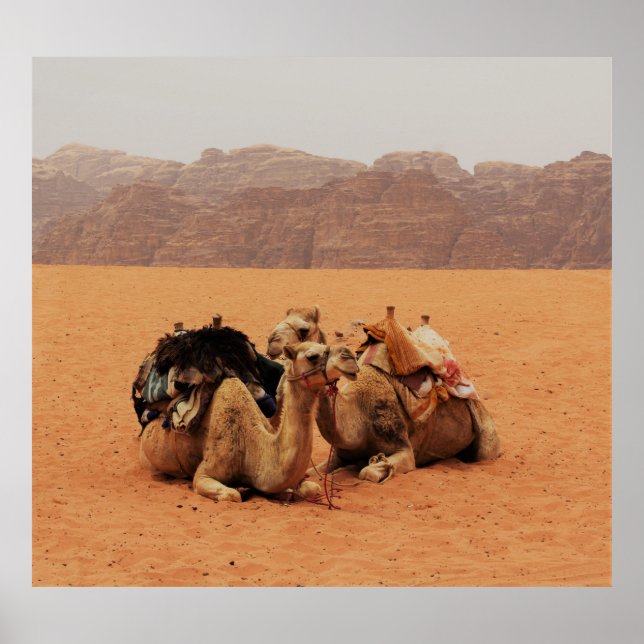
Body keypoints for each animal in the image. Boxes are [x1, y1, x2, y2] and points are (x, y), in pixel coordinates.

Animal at [139, 340, 359, 502]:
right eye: (312, 356)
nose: (350, 356)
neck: (251, 445)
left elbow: (312, 488)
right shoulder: (204, 473)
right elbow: (232, 494)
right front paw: (242, 488)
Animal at [267, 306, 500, 484]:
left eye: (304, 329)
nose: (272, 341)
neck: (358, 410)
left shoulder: (405, 451)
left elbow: (368, 472)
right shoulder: (339, 453)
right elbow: (313, 472)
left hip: (486, 438)